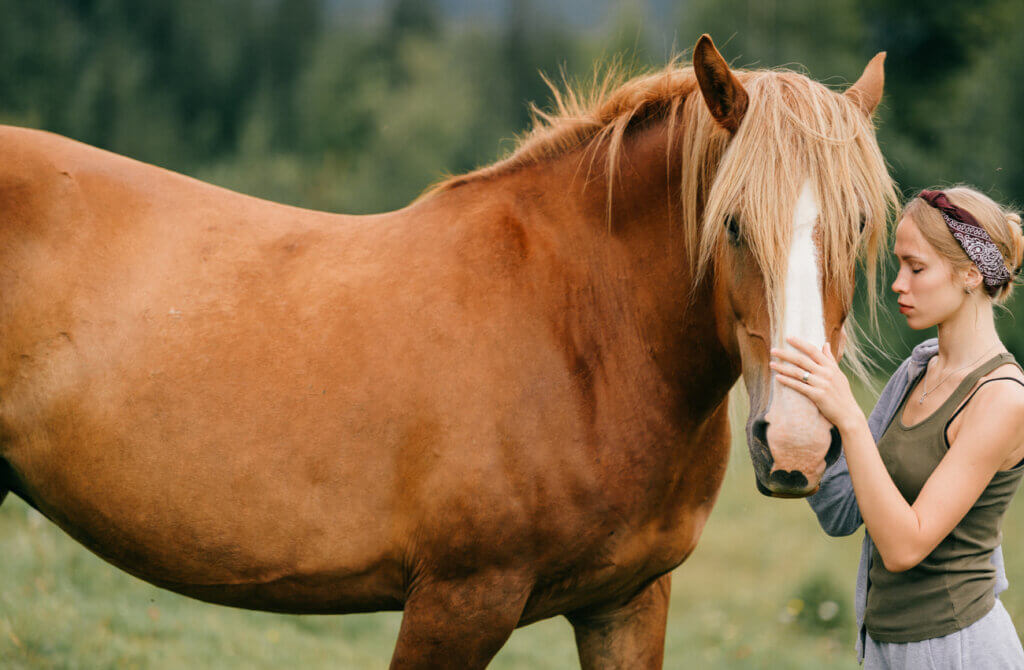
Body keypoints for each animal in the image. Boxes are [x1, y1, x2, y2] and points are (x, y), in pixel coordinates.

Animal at [0, 35, 896, 668]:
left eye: (858, 225)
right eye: (733, 224)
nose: (796, 446)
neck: (579, 332)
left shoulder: (628, 604)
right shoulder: (459, 604)